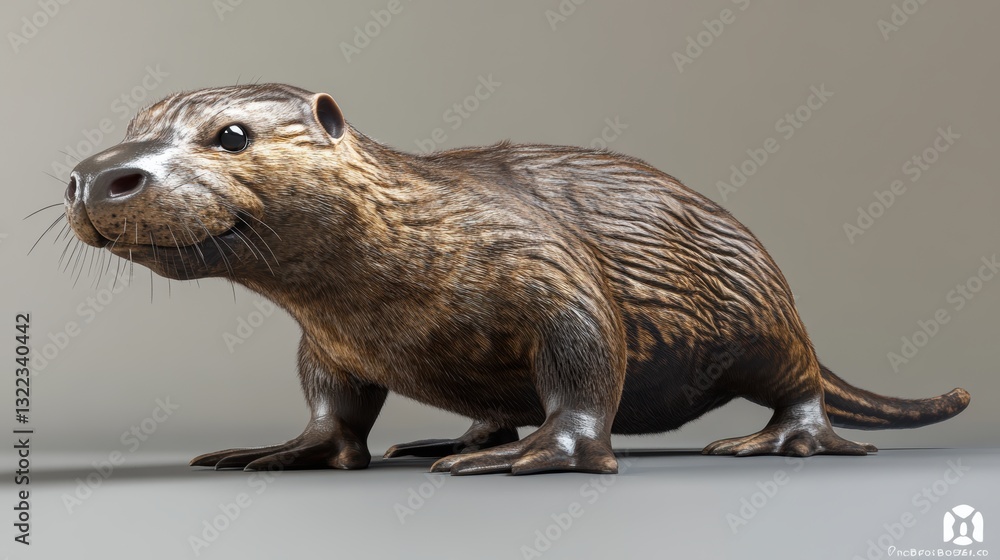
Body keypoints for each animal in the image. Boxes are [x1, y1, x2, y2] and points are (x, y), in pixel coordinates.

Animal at [61, 84, 970, 475]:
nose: (95, 177)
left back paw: (783, 440)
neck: (415, 231)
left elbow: (587, 350)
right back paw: (454, 437)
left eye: (232, 135)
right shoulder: (326, 338)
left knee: (801, 380)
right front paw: (290, 450)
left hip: (759, 316)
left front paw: (551, 451)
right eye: (135, 124)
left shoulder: (537, 258)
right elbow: (332, 398)